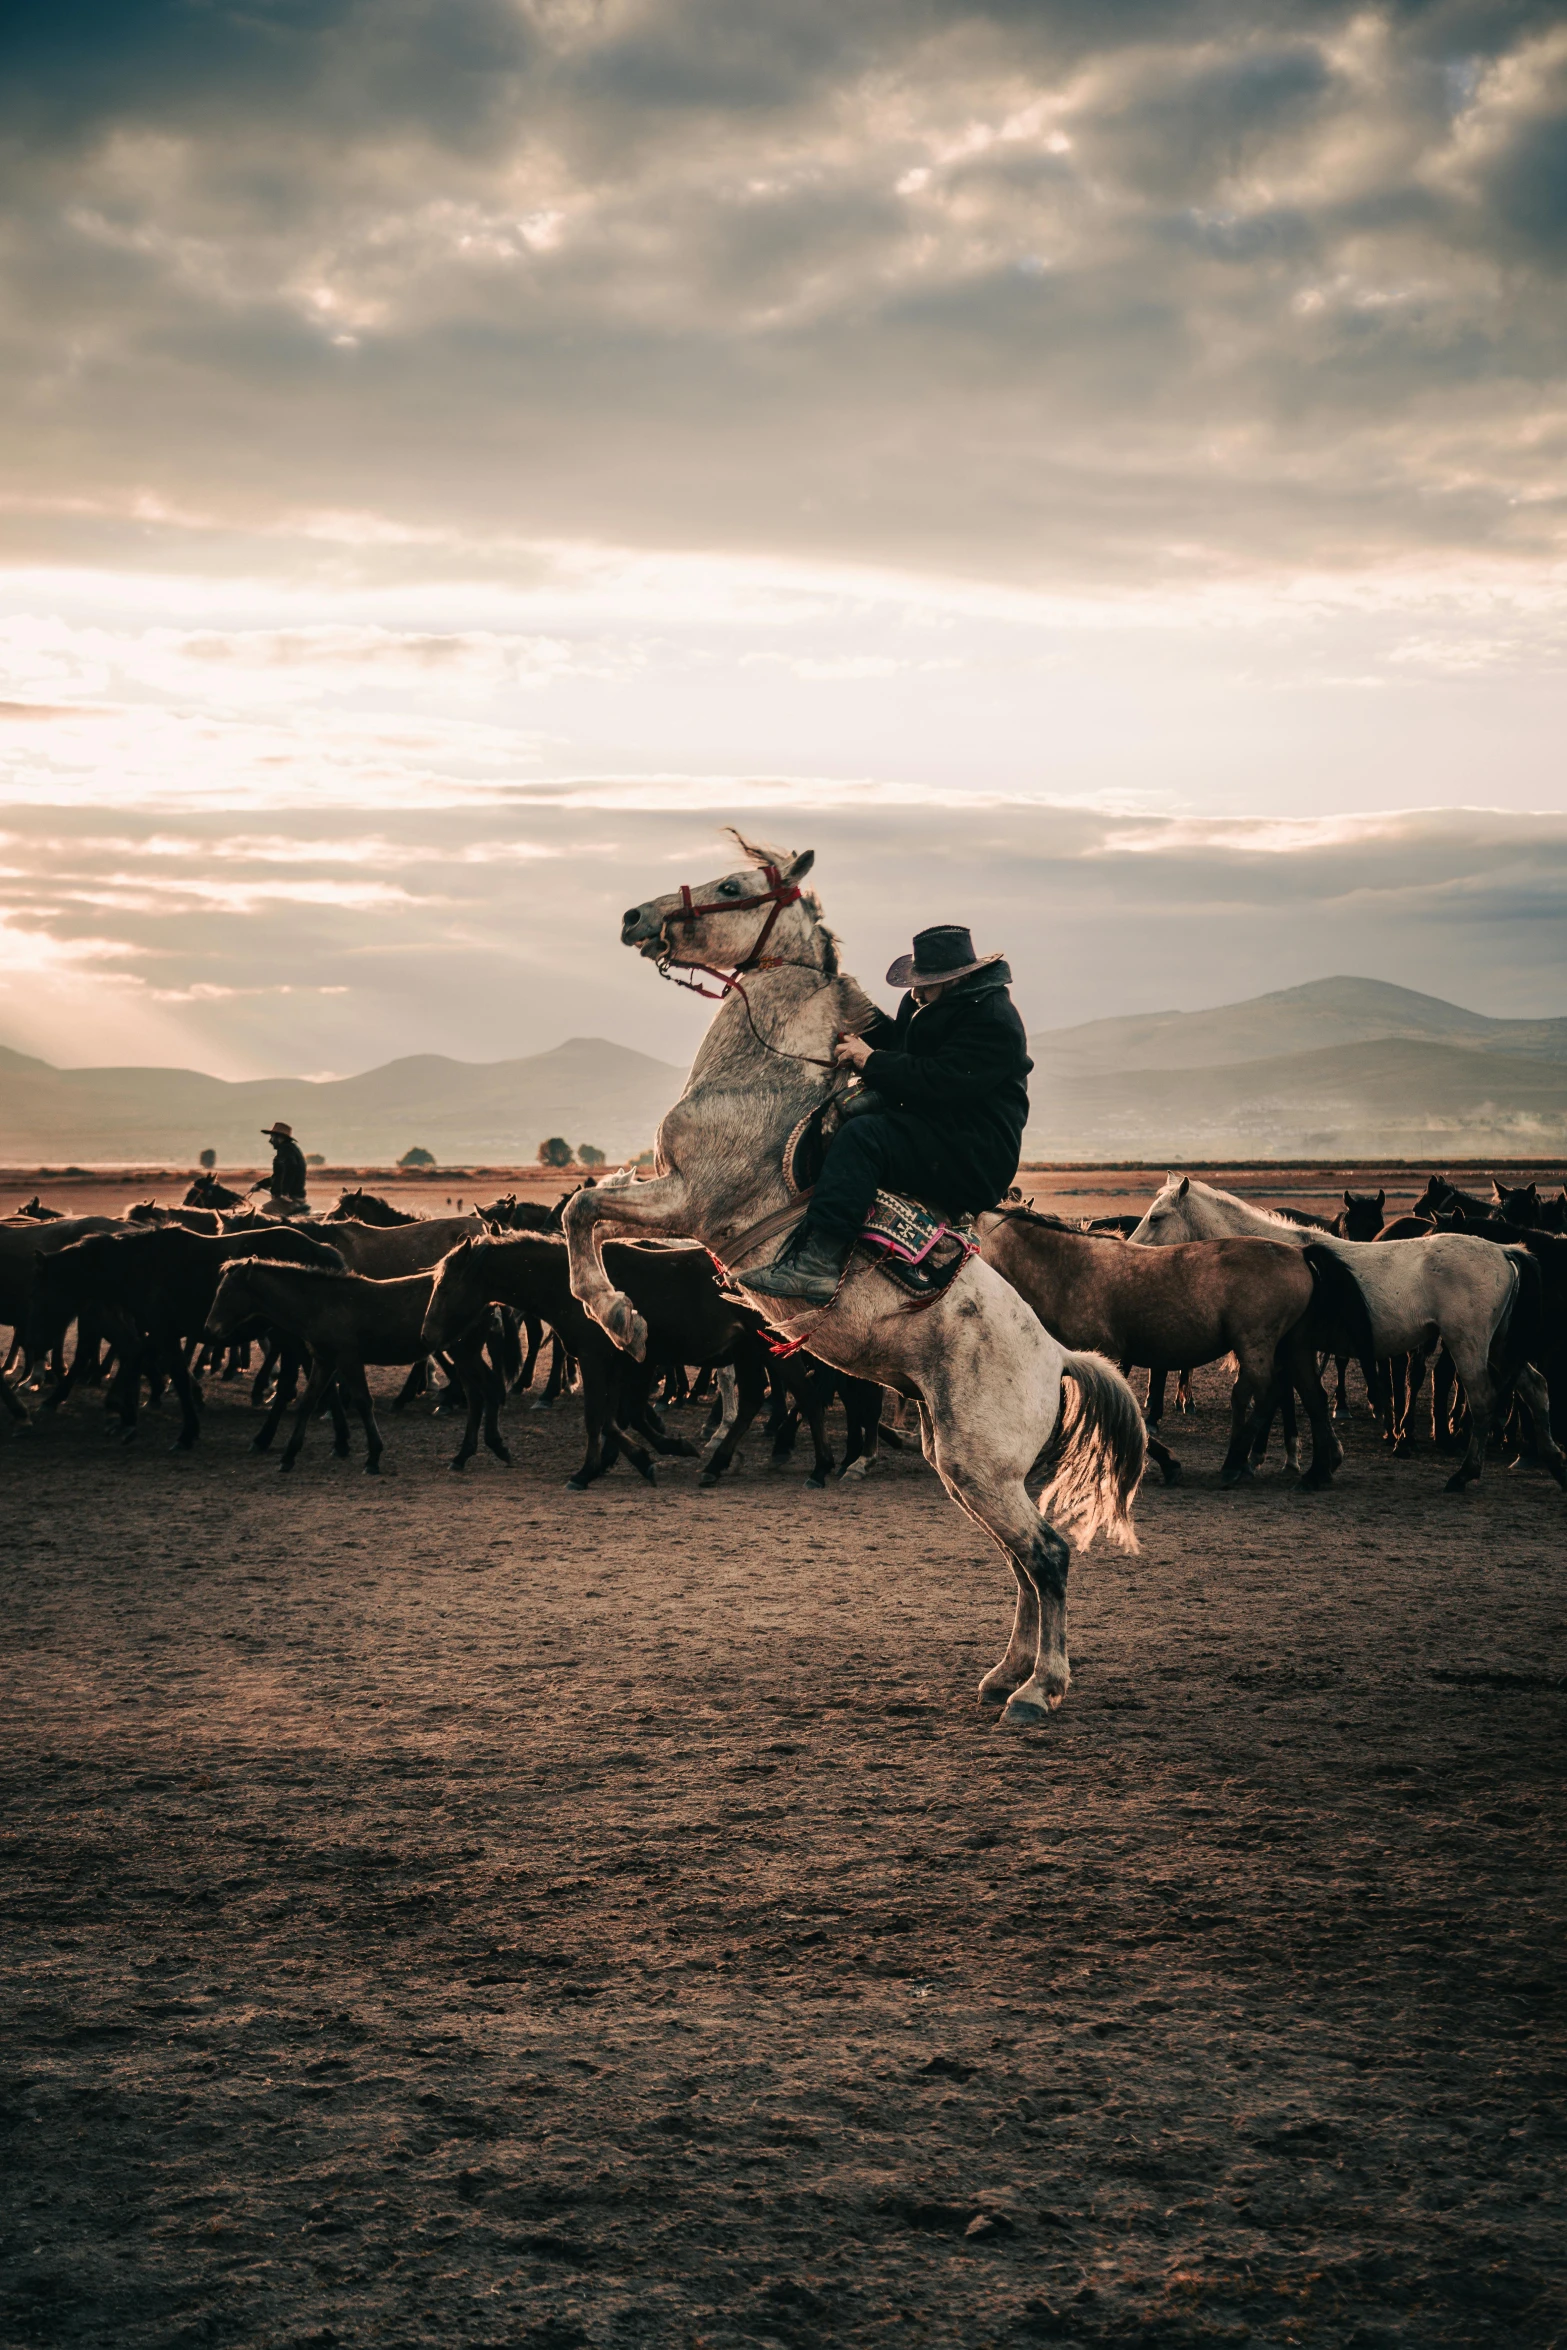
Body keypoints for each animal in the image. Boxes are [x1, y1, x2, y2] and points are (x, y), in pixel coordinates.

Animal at [556, 836, 1146, 1720]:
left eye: (732, 885)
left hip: (979, 1466)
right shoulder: (673, 1200)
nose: (634, 916)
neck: (764, 1077)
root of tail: (1057, 1358)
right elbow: (583, 1211)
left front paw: (618, 1316)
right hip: (965, 1468)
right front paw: (619, 1315)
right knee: (1020, 1560)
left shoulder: (689, 1202)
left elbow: (581, 1208)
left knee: (1046, 1554)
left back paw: (1039, 1688)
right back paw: (1004, 1673)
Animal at [982, 1212, 1334, 1485]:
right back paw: (1319, 1470)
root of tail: (1300, 1253)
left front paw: (1166, 1463)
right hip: (1292, 1347)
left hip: (1255, 1344)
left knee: (1267, 1392)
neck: (1069, 1272)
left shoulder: (1106, 1355)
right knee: (1310, 1395)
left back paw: (1236, 1464)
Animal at [1127, 1175, 1559, 1485]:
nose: (1130, 1253)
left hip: (1468, 1345)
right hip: (1498, 1347)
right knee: (1535, 1387)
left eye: (1156, 1217)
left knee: (1484, 1399)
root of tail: (1505, 1251)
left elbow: (1282, 1400)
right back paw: (1551, 1460)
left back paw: (1464, 1474)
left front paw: (1263, 1459)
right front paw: (1306, 1460)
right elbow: (1300, 1398)